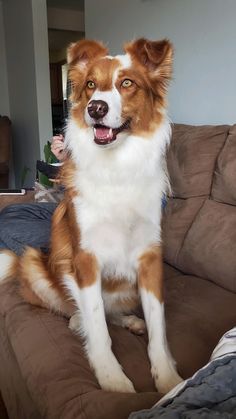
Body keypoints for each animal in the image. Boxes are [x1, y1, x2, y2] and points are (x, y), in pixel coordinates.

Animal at [0, 37, 183, 396]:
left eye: (127, 83)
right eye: (90, 85)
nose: (95, 108)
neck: (117, 168)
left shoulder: (150, 257)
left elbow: (158, 325)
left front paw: (168, 379)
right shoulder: (85, 258)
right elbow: (97, 323)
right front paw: (112, 381)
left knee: (114, 311)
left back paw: (131, 320)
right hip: (34, 264)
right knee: (77, 310)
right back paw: (77, 321)